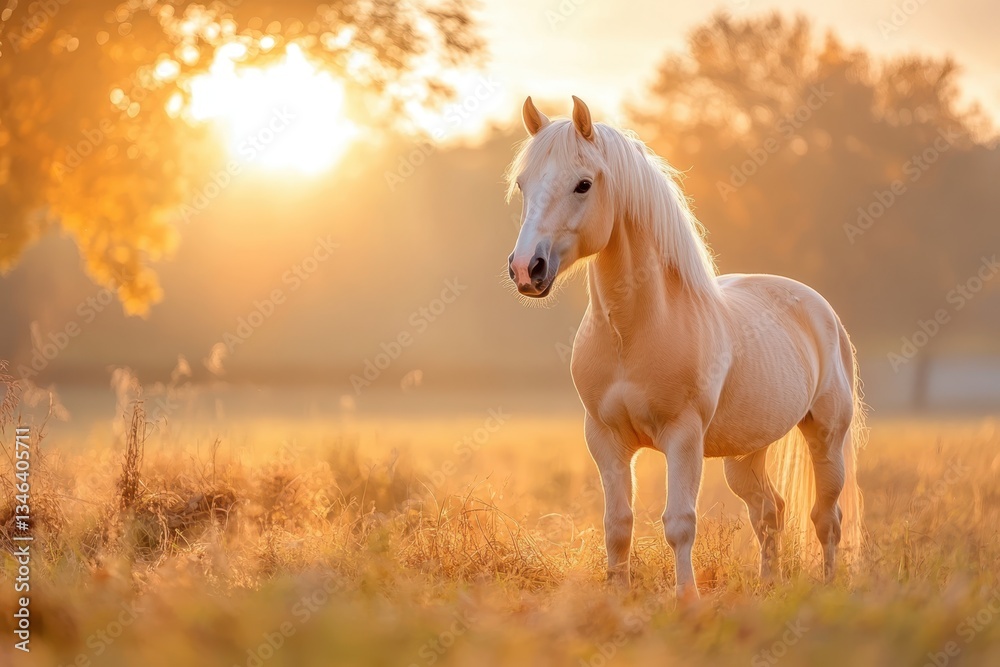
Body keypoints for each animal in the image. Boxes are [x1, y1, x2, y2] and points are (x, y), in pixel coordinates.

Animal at [504, 96, 865, 598]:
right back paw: (768, 586)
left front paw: (687, 601)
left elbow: (679, 523)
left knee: (826, 518)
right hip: (745, 455)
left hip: (825, 437)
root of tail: (821, 310)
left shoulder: (683, 437)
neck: (633, 332)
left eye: (583, 184)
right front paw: (618, 597)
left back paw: (829, 588)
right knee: (769, 512)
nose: (526, 269)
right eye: (523, 184)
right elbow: (617, 525)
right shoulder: (605, 439)